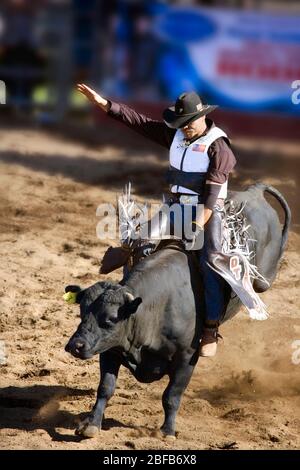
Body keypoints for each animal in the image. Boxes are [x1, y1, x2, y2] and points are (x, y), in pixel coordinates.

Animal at [64, 184, 290, 436]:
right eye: (82, 312)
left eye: (111, 318)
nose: (76, 346)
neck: (154, 309)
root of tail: (255, 191)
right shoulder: (111, 348)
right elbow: (105, 387)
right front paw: (91, 424)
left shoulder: (186, 358)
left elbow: (171, 395)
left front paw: (167, 431)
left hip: (264, 279)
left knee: (263, 281)